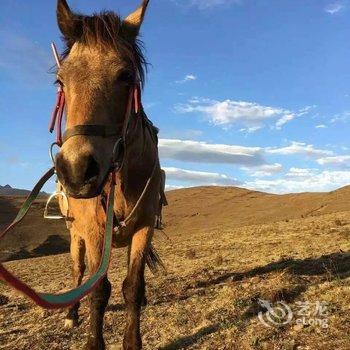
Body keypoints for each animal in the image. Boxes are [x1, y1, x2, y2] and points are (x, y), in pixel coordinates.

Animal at [53, 1, 163, 348]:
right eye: (61, 81)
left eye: (125, 76)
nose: (77, 170)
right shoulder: (92, 231)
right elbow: (98, 290)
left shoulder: (143, 227)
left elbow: (133, 286)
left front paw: (132, 340)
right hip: (75, 236)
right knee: (77, 273)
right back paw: (71, 314)